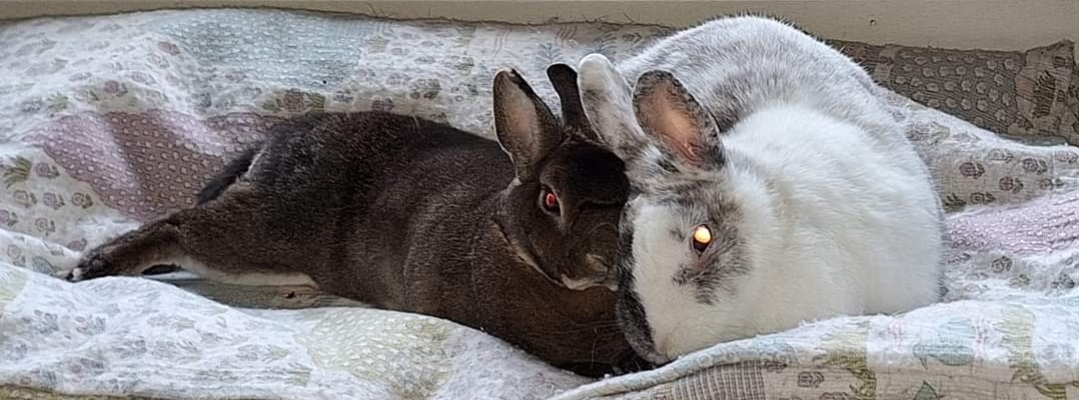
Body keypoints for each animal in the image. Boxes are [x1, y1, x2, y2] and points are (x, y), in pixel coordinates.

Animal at [63, 65, 646, 377]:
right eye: (550, 200)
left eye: (630, 190)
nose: (606, 255)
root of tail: (274, 144)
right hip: (267, 231)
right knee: (177, 226)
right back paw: (92, 268)